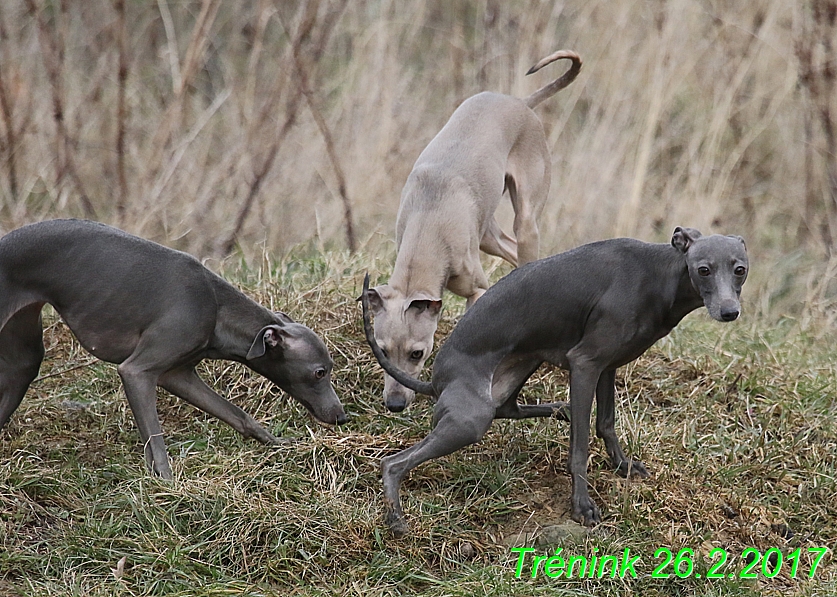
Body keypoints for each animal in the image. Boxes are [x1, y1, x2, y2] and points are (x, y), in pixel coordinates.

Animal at [0, 221, 346, 478]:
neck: (216, 306)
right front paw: (167, 484)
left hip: (23, 358)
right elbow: (155, 437)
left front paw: (278, 442)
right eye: (320, 372)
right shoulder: (137, 372)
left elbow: (238, 415)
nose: (342, 417)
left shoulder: (178, 375)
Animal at [362, 226, 748, 532]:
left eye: (740, 270)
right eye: (703, 270)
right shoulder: (585, 363)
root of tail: (436, 380)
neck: (659, 275)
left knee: (510, 409)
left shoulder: (607, 366)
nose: (730, 312)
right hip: (470, 420)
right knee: (393, 463)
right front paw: (582, 505)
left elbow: (605, 423)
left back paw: (559, 409)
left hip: (517, 371)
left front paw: (622, 465)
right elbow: (579, 449)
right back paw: (396, 518)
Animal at [368, 51, 580, 412]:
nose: (395, 404)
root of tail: (520, 101)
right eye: (382, 350)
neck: (430, 218)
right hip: (488, 235)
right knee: (508, 248)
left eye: (417, 353)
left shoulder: (476, 289)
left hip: (527, 220)